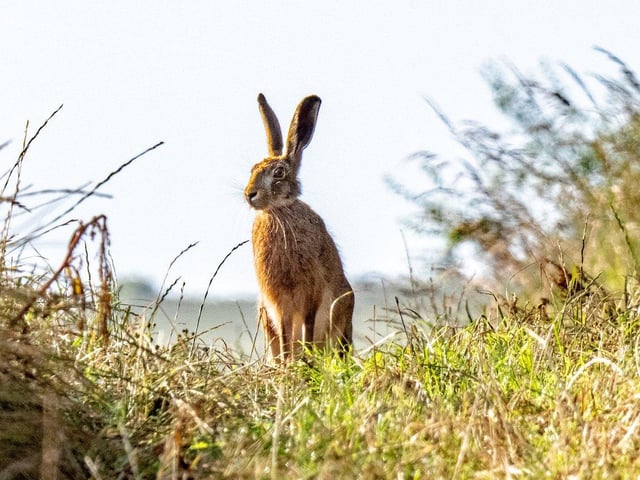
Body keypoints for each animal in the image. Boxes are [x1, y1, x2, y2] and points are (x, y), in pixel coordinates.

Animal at [244, 93, 354, 361]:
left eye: (279, 173)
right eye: (252, 170)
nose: (249, 194)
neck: (279, 212)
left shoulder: (311, 295)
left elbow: (309, 325)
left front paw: (305, 359)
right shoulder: (278, 303)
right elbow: (285, 334)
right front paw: (288, 363)